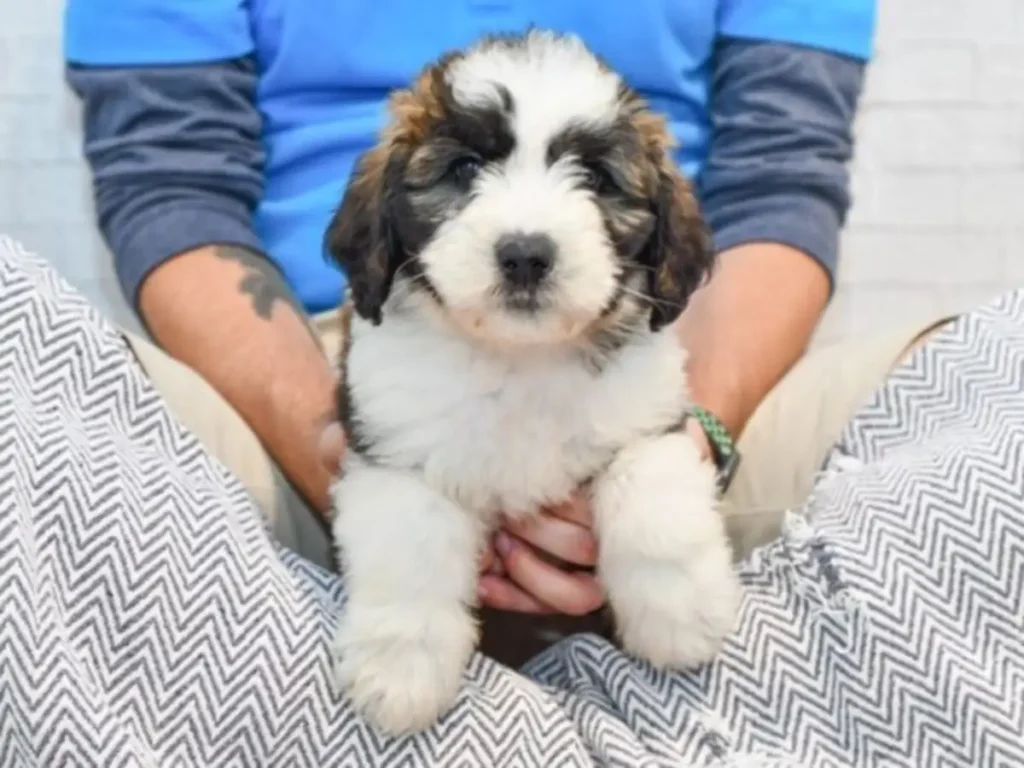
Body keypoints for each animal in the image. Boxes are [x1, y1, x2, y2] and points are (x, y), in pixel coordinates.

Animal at [323, 30, 741, 737]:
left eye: (595, 179)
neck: (520, 358)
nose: (525, 254)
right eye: (465, 169)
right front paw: (401, 671)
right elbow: (410, 551)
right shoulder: (397, 452)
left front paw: (679, 613)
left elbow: (652, 501)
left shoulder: (648, 417)